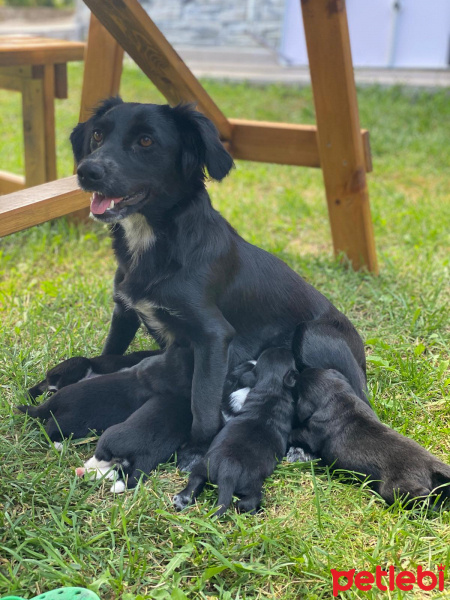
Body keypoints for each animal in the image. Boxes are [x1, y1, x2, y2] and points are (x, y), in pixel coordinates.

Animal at [173, 346, 298, 516]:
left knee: (195, 480)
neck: (271, 387)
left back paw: (182, 499)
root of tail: (229, 467)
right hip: (251, 485)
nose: (282, 346)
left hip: (204, 467)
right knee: (249, 500)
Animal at [288, 370, 450, 506]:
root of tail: (431, 464)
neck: (339, 399)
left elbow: (296, 433)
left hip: (395, 488)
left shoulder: (312, 432)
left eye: (298, 381)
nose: (292, 373)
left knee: (421, 495)